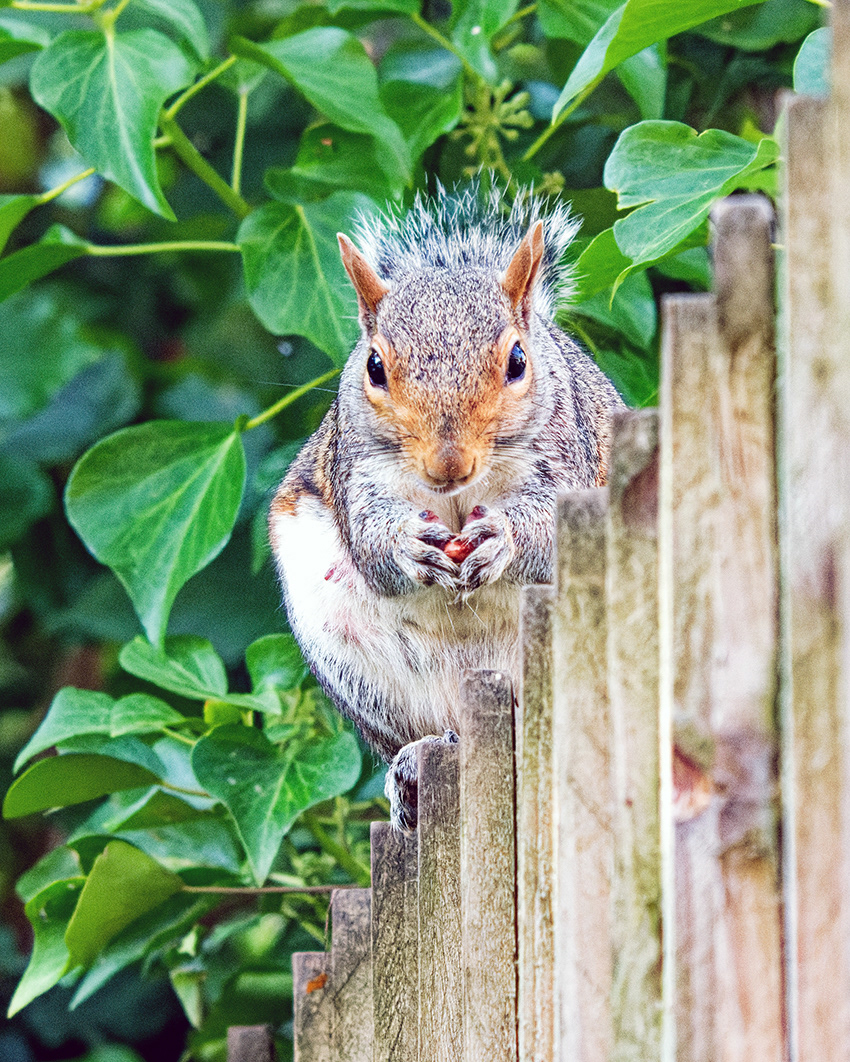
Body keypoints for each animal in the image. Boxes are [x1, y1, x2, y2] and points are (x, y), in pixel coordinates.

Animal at [269, 185, 624, 831]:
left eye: (517, 360)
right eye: (374, 367)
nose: (447, 464)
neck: (457, 499)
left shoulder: (569, 456)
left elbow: (549, 531)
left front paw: (506, 537)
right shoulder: (355, 470)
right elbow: (371, 545)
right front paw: (407, 546)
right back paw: (414, 763)